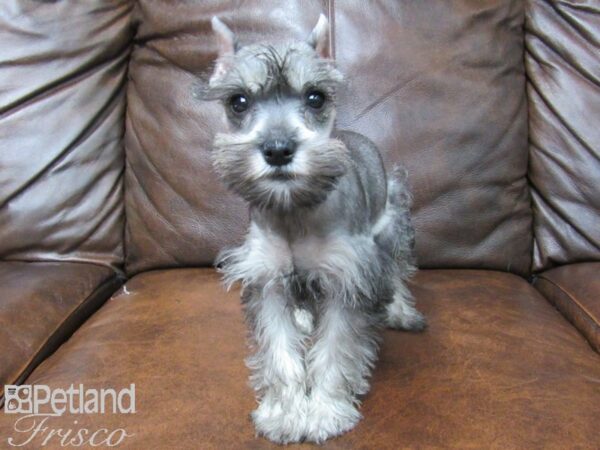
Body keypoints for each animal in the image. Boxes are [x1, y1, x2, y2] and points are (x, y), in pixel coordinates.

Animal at [202, 13, 426, 442]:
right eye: (238, 101)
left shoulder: (347, 278)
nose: (277, 149)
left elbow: (336, 351)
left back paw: (401, 311)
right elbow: (279, 351)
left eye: (315, 97)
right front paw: (285, 412)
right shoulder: (267, 279)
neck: (295, 211)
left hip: (394, 224)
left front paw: (324, 411)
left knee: (397, 273)